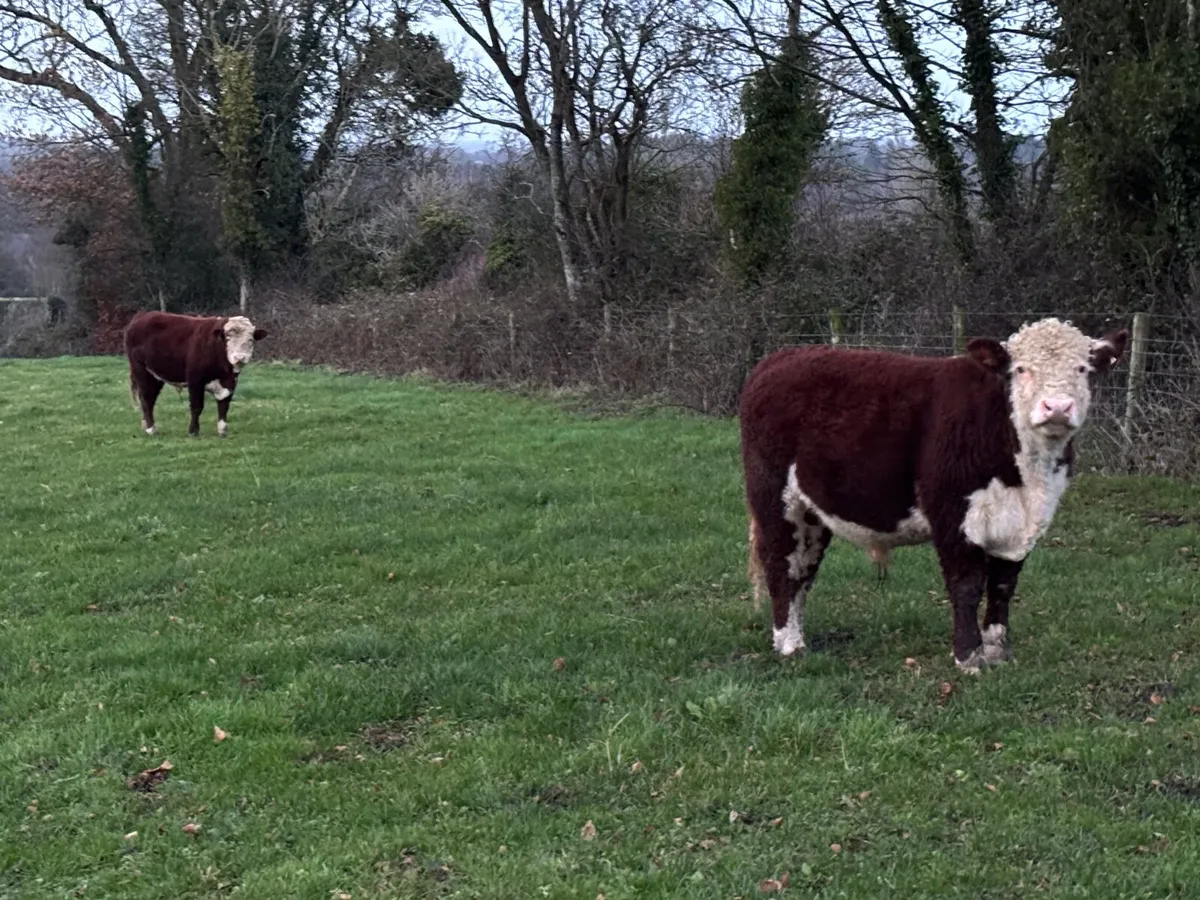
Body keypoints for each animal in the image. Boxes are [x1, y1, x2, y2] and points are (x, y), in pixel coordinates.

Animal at [124, 311, 267, 438]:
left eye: (250, 340)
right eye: (227, 338)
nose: (239, 357)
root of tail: (142, 315)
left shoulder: (230, 382)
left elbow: (224, 405)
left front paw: (222, 430)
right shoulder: (195, 380)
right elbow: (197, 406)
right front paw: (193, 431)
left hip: (155, 376)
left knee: (151, 398)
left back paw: (146, 426)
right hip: (141, 370)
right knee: (146, 398)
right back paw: (151, 429)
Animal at [739, 318, 1129, 673]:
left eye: (1082, 368)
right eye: (1021, 369)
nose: (1057, 407)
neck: (1026, 476)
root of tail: (780, 358)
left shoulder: (1022, 525)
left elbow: (1003, 585)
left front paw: (998, 653)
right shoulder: (954, 514)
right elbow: (967, 586)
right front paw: (968, 658)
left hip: (812, 511)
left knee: (803, 567)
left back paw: (797, 636)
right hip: (776, 497)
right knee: (781, 562)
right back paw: (788, 644)